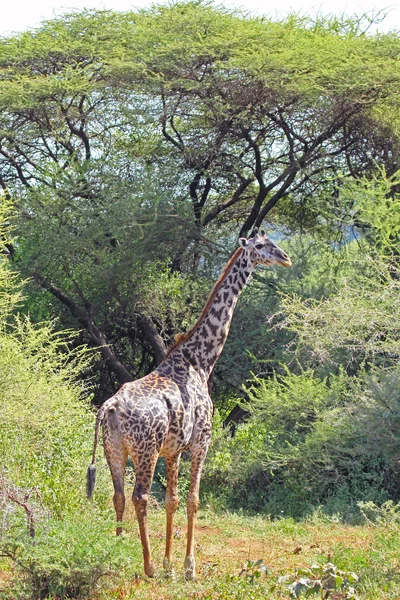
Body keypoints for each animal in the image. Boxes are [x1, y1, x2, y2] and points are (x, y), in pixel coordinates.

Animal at [86, 227, 290, 580]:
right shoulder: (200, 441)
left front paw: (171, 565)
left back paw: (116, 551)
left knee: (119, 495)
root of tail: (109, 408)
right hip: (144, 451)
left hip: (115, 451)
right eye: (262, 246)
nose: (286, 258)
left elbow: (172, 499)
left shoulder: (173, 450)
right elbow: (193, 499)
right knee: (140, 496)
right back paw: (148, 566)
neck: (201, 361)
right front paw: (188, 568)